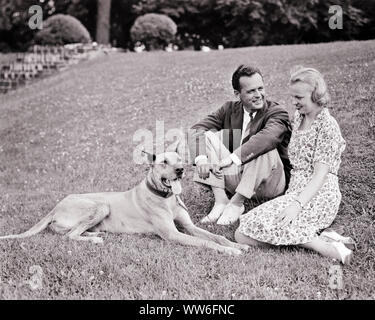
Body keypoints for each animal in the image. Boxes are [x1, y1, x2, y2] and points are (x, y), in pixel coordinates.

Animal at [1, 145, 251, 255]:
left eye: (179, 159)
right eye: (164, 162)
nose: (180, 170)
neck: (166, 198)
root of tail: (55, 207)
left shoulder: (188, 226)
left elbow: (216, 236)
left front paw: (237, 244)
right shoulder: (172, 234)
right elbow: (206, 243)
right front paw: (230, 251)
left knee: (71, 232)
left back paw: (93, 234)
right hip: (100, 205)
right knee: (70, 236)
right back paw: (94, 239)